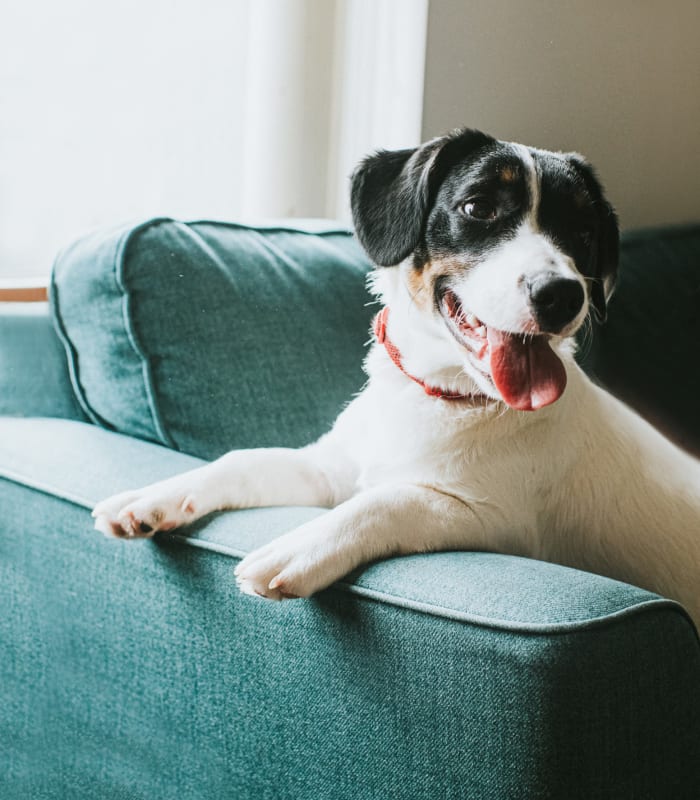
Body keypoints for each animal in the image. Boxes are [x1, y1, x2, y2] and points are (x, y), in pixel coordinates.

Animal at [91, 126, 700, 624]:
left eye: (582, 231)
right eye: (478, 207)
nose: (562, 295)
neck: (442, 399)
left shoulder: (494, 520)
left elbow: (388, 500)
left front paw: (299, 546)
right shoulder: (328, 469)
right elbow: (240, 461)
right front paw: (154, 497)